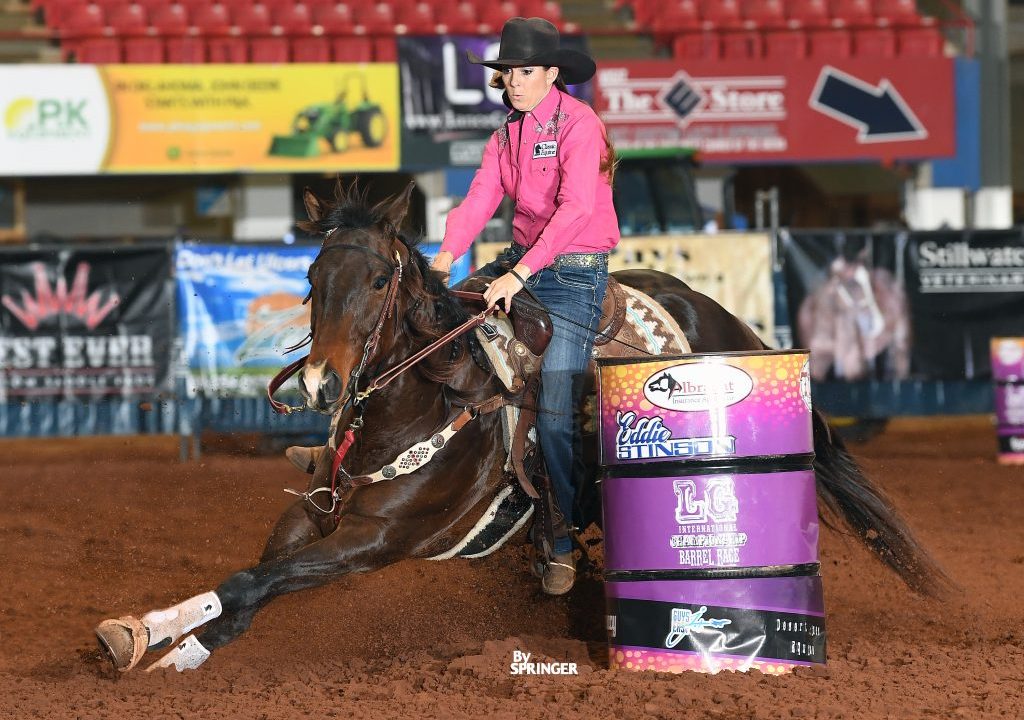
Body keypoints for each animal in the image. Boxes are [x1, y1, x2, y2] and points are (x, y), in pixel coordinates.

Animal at [92, 181, 946, 675]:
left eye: (379, 277)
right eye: (310, 277)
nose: (319, 384)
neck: (429, 394)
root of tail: (723, 315)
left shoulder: (375, 542)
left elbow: (249, 584)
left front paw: (148, 644)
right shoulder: (314, 515)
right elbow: (246, 588)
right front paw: (156, 641)